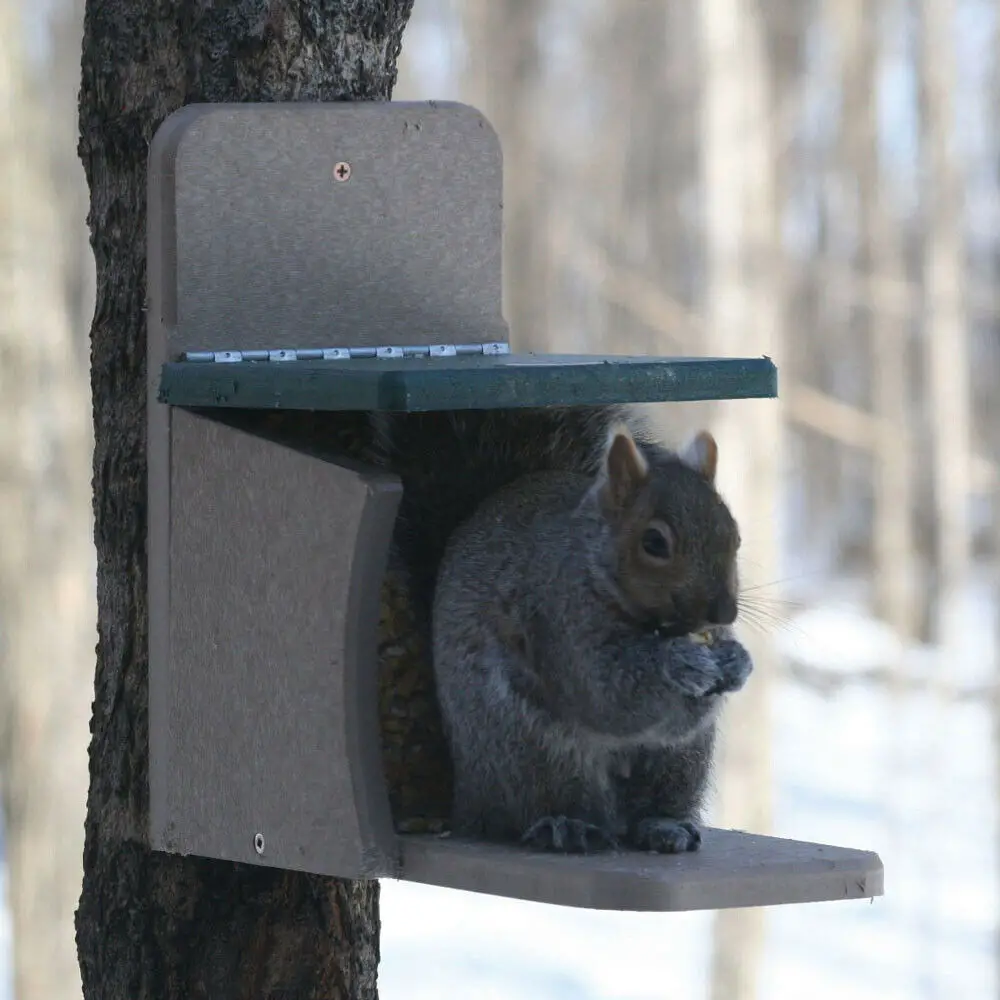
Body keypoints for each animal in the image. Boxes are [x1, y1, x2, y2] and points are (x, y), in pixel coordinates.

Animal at [429, 421, 752, 853]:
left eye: (734, 536)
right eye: (654, 542)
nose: (724, 614)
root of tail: (467, 800)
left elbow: (679, 719)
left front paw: (737, 662)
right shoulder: (557, 614)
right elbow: (605, 694)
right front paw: (679, 663)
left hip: (681, 762)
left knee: (649, 804)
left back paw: (663, 825)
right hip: (529, 753)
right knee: (537, 807)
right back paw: (566, 825)